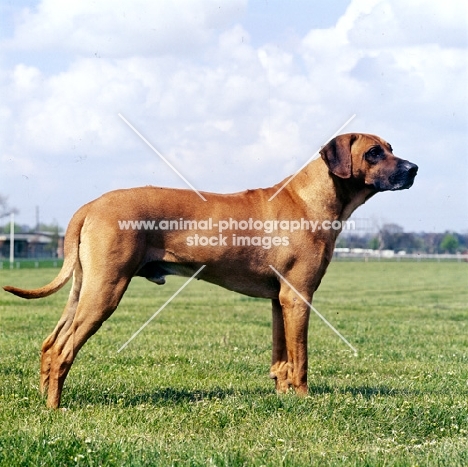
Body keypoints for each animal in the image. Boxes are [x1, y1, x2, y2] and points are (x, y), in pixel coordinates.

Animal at [1, 133, 418, 408]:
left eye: (392, 148)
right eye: (374, 152)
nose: (414, 168)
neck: (309, 200)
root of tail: (91, 204)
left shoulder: (280, 300)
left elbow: (281, 357)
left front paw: (284, 399)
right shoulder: (298, 297)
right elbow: (300, 358)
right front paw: (304, 399)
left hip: (84, 288)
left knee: (50, 343)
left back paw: (44, 400)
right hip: (106, 289)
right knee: (63, 349)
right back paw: (56, 407)